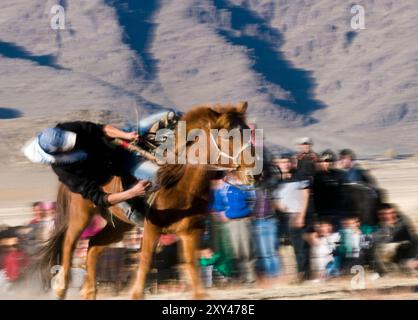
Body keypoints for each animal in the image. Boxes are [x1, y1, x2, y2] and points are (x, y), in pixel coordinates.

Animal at [39, 101, 253, 298]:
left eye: (247, 131)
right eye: (227, 136)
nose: (254, 174)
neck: (182, 186)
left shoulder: (192, 231)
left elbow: (192, 267)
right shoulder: (152, 227)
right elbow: (146, 262)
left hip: (120, 225)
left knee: (93, 246)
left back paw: (89, 292)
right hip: (80, 216)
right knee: (69, 245)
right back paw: (61, 287)